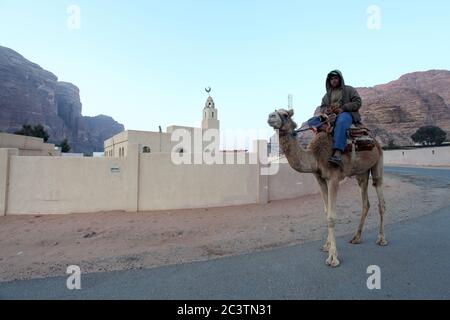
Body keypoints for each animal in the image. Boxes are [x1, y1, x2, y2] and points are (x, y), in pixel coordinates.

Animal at [268, 109, 386, 266]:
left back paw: (382, 239)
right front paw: (326, 246)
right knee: (365, 202)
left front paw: (333, 257)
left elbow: (331, 216)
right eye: (275, 112)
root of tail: (375, 141)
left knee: (380, 199)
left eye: (285, 114)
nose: (270, 116)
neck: (315, 157)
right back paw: (356, 237)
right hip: (362, 173)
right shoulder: (320, 179)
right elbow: (326, 211)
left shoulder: (333, 178)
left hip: (378, 162)